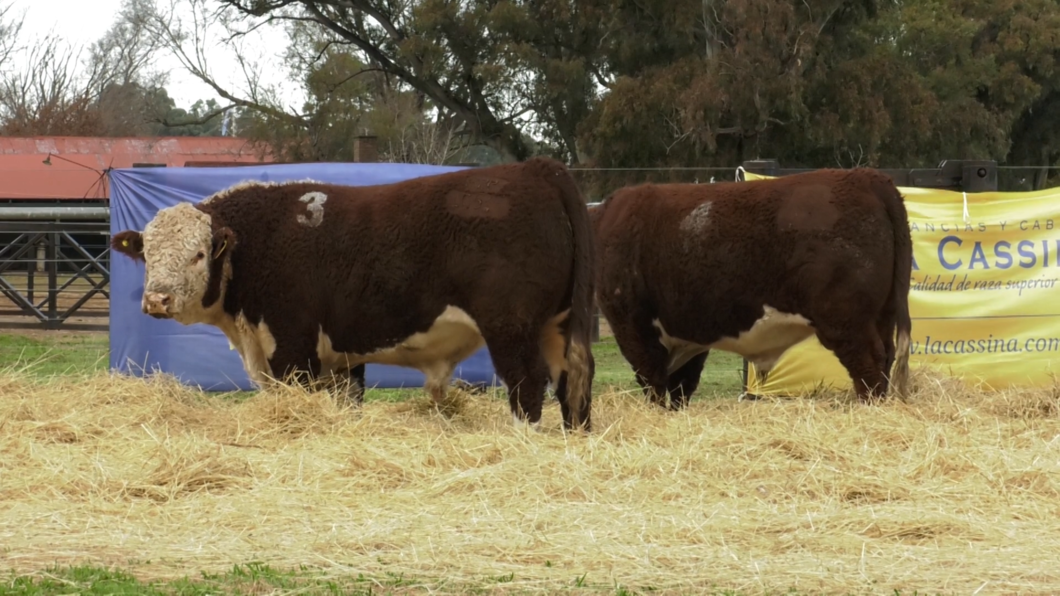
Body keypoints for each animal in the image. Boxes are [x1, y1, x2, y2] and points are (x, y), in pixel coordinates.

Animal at [115, 155, 602, 428]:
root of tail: (533, 168)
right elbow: (347, 403)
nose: (156, 300)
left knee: (528, 382)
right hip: (558, 322)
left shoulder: (292, 348)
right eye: (148, 253)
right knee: (573, 377)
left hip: (511, 326)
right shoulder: (339, 358)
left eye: (199, 255)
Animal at [589, 168, 911, 407]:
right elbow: (680, 387)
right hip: (882, 314)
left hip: (845, 320)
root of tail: (867, 178)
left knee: (869, 366)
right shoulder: (689, 334)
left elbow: (653, 383)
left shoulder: (634, 325)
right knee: (886, 356)